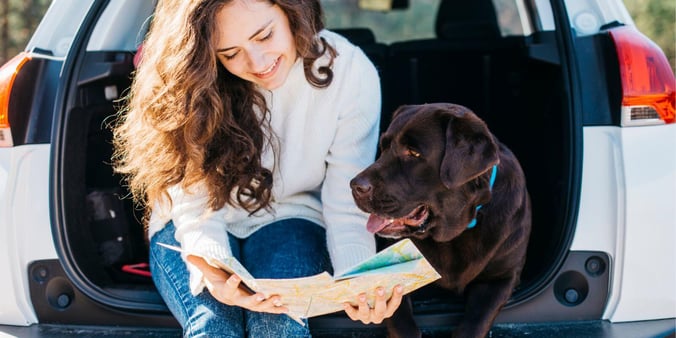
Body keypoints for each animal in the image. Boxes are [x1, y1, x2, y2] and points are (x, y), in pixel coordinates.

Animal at [352, 103, 532, 338]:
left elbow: (475, 323)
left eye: (414, 152)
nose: (355, 186)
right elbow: (402, 323)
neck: (455, 232)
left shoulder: (502, 277)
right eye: (384, 147)